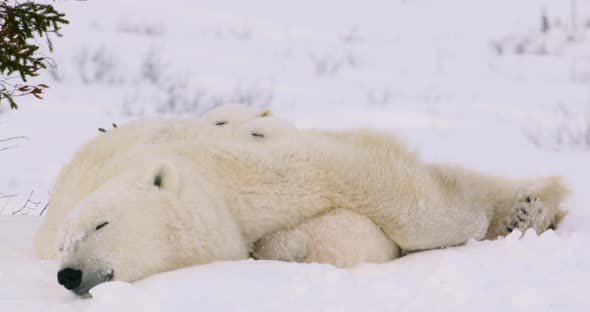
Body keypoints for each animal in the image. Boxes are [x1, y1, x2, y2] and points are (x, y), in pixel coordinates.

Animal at [44, 124, 572, 294]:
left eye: (100, 224)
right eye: (62, 244)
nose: (68, 274)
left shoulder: (235, 169)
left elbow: (362, 176)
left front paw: (495, 216)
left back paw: (531, 208)